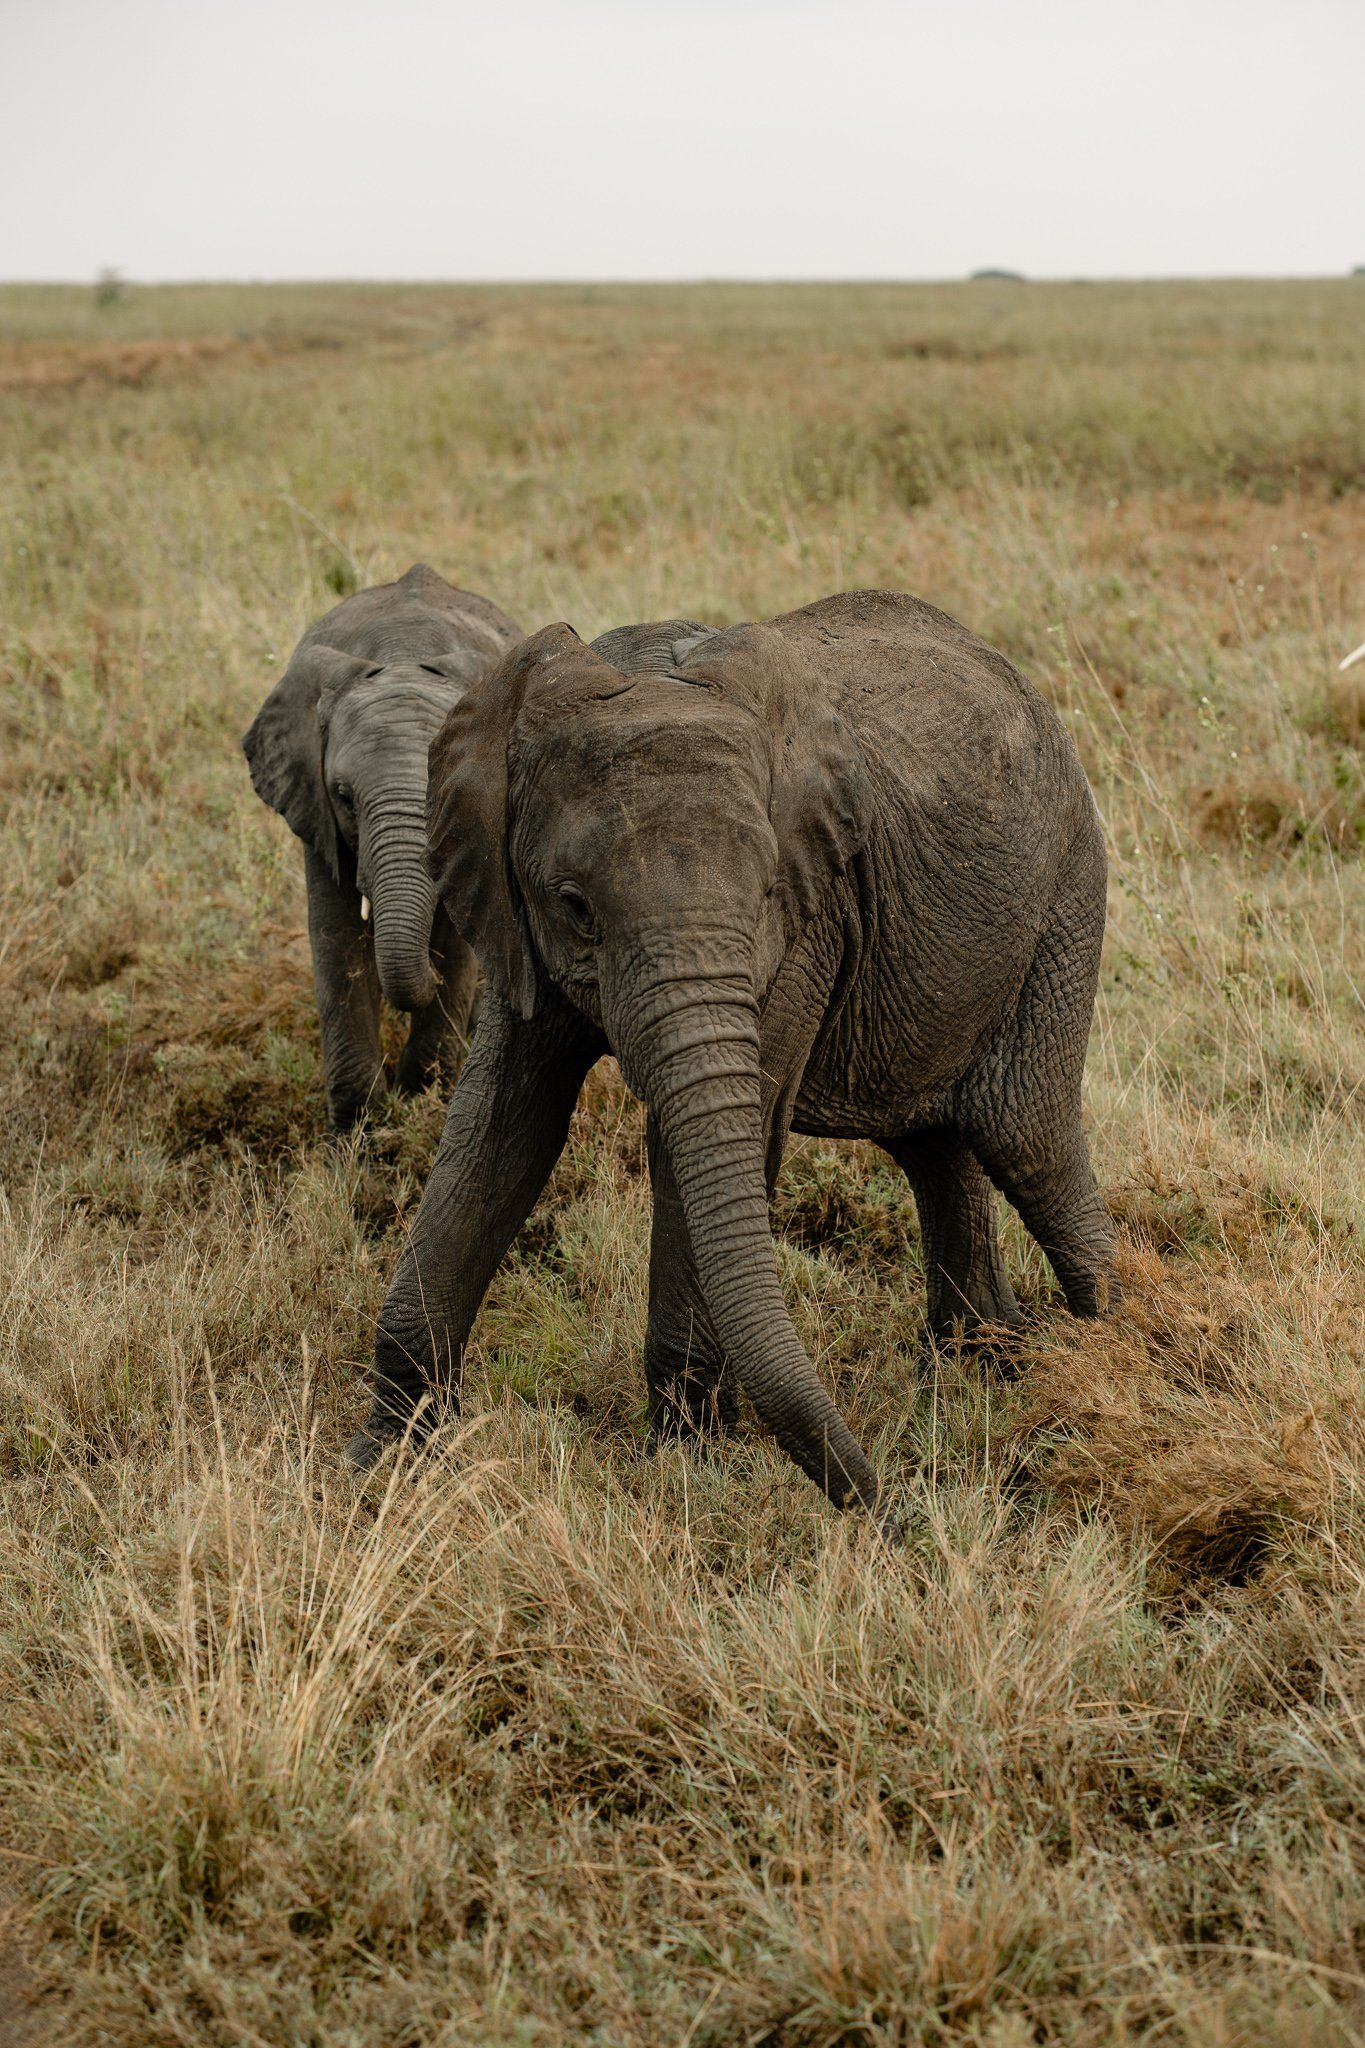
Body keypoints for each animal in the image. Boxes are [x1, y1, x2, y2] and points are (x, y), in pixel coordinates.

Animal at [242, 564, 523, 1133]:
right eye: (343, 797)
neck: (402, 654)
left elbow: (461, 943)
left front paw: (420, 1100)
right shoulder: (317, 816)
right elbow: (335, 936)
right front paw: (358, 1131)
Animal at [352, 589, 1119, 1527]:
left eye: (762, 893)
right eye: (574, 904)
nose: (894, 1514)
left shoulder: (807, 922)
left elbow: (711, 1140)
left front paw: (682, 1478)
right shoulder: (509, 909)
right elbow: (502, 1127)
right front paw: (379, 1468)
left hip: (1066, 892)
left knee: (1024, 1134)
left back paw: (1119, 1360)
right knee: (935, 1142)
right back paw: (981, 1368)